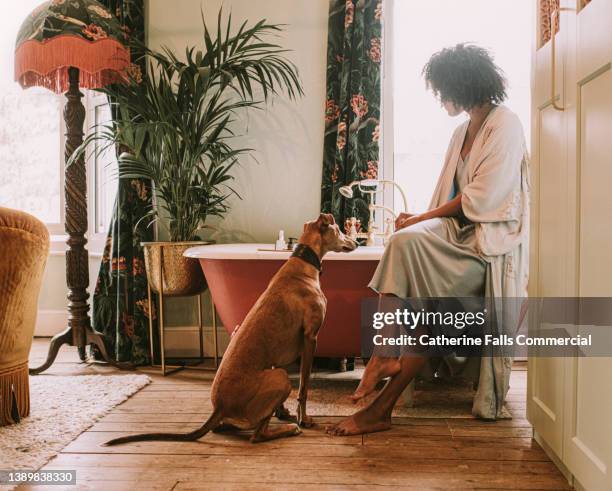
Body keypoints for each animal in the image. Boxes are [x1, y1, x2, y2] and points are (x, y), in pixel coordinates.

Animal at [104, 212, 354, 446]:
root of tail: (220, 407)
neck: (302, 265)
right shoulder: (311, 338)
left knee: (229, 427)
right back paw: (290, 429)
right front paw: (303, 418)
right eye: (340, 229)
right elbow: (303, 387)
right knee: (257, 435)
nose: (355, 242)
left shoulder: (278, 353)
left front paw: (283, 411)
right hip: (280, 378)